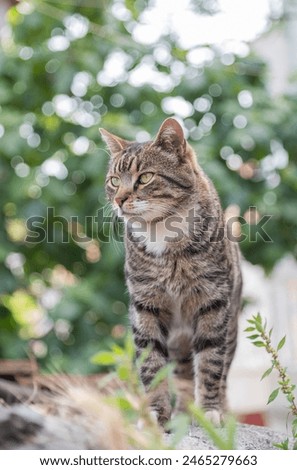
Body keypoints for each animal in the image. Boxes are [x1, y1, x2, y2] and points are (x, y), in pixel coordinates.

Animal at [99, 119, 240, 428]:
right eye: (114, 181)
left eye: (145, 177)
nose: (119, 199)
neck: (162, 231)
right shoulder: (145, 304)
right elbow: (152, 364)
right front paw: (155, 413)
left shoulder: (213, 302)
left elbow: (211, 361)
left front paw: (210, 410)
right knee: (182, 373)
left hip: (231, 325)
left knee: (220, 370)